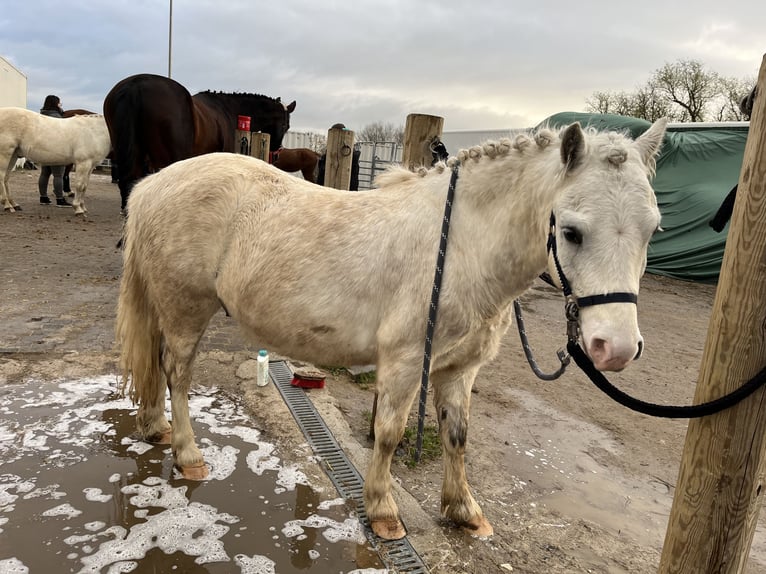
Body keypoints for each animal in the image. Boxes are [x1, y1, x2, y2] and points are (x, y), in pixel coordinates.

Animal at [117, 119, 668, 544]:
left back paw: (155, 426)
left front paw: (464, 511)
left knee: (159, 367)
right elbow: (388, 434)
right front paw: (383, 511)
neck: (463, 245)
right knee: (177, 374)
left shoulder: (458, 370)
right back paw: (188, 454)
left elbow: (457, 436)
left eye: (654, 229)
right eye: (571, 231)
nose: (615, 348)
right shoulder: (405, 363)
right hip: (186, 309)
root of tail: (153, 185)